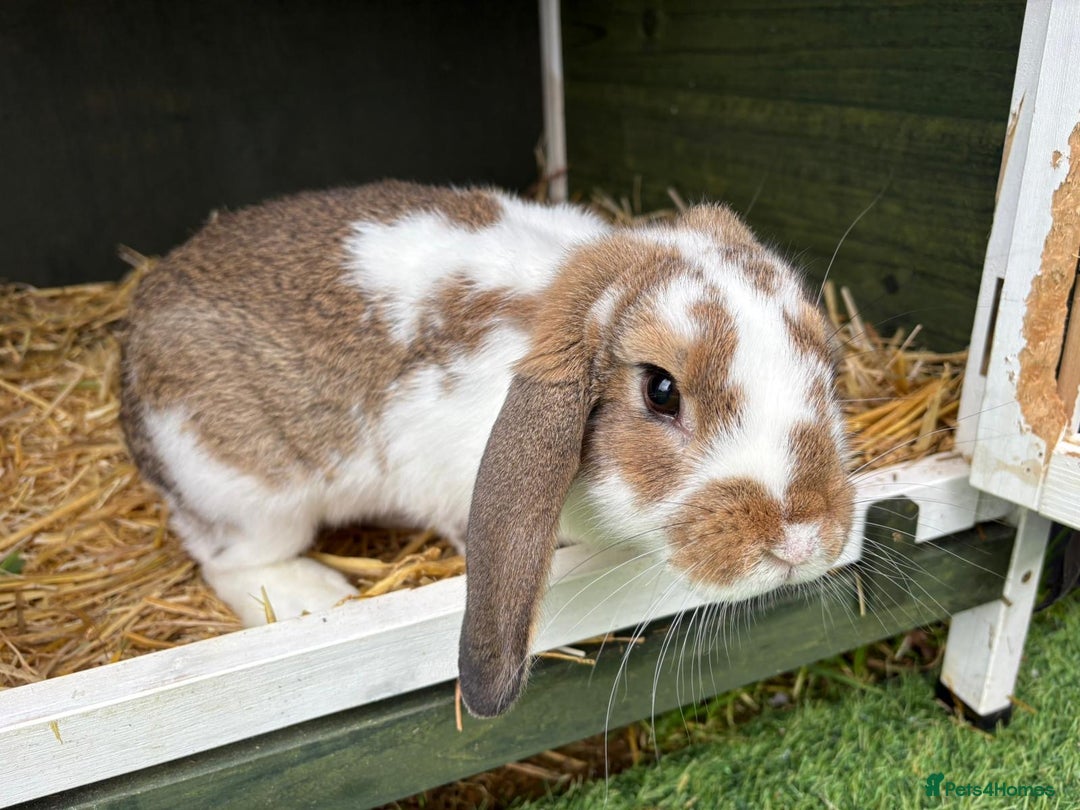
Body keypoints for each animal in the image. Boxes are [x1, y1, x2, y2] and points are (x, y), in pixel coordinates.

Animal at [119, 180, 855, 717]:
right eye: (661, 391)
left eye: (825, 362)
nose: (801, 540)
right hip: (250, 493)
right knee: (228, 562)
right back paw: (313, 594)